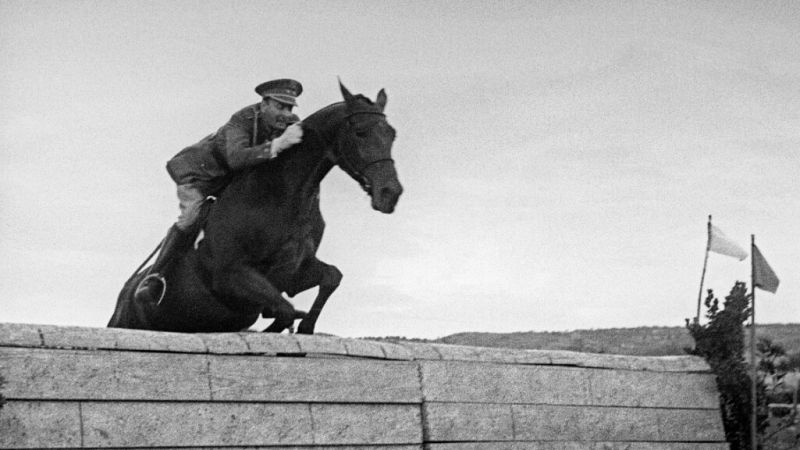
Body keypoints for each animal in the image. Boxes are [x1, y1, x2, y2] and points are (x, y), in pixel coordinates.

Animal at [108, 81, 400, 334]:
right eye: (360, 132)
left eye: (392, 134)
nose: (391, 194)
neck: (285, 197)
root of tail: (123, 296)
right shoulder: (231, 275)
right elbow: (284, 310)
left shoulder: (294, 274)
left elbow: (330, 277)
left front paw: (305, 327)